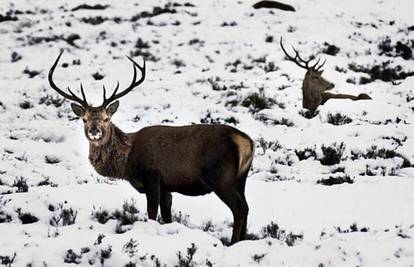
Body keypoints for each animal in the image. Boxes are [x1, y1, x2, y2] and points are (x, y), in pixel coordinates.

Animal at [49, 50, 256, 245]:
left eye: (106, 119)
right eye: (84, 119)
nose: (94, 131)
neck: (127, 163)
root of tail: (247, 142)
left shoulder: (152, 177)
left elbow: (151, 214)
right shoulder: (166, 186)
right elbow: (167, 217)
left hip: (221, 177)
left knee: (239, 209)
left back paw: (233, 243)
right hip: (241, 178)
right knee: (246, 207)